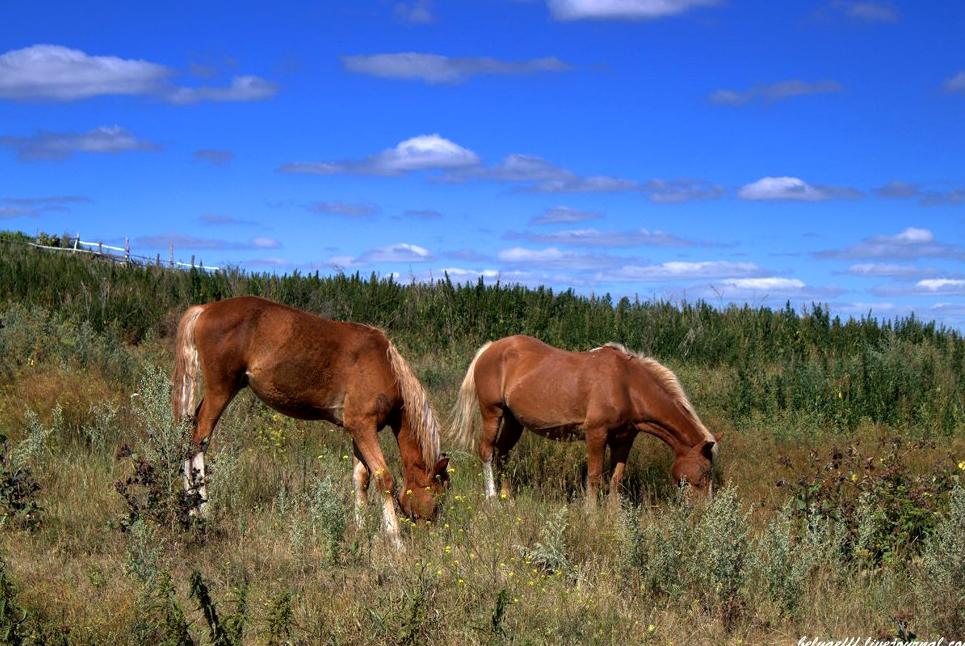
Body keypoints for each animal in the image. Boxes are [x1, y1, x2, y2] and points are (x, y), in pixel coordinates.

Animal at [171, 296, 450, 548]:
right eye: (438, 496)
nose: (431, 538)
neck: (385, 366)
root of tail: (205, 309)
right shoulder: (364, 427)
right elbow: (384, 479)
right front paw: (395, 541)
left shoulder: (357, 430)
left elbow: (361, 479)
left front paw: (360, 530)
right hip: (220, 391)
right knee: (197, 442)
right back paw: (200, 511)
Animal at [450, 336, 716, 508]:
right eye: (702, 476)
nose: (703, 512)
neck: (627, 385)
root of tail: (490, 348)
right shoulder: (596, 434)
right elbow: (595, 476)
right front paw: (591, 513)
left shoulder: (624, 439)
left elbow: (616, 478)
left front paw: (613, 514)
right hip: (492, 412)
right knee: (487, 451)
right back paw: (493, 498)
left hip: (514, 421)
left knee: (503, 453)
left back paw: (508, 497)